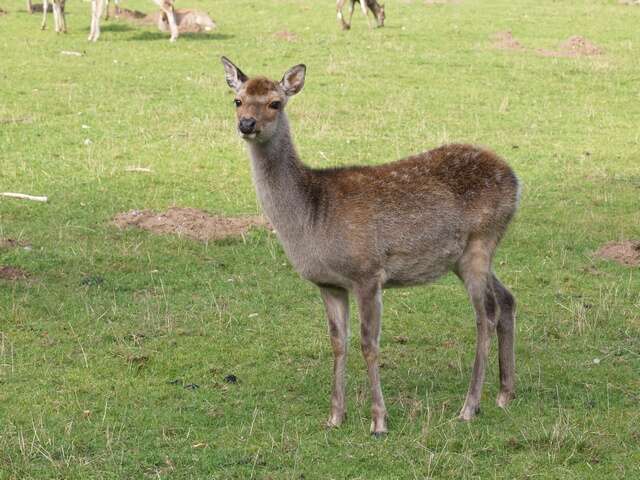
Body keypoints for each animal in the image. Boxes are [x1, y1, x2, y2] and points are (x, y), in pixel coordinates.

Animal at [220, 56, 520, 436]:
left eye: (275, 102)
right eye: (237, 100)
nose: (246, 124)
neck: (312, 217)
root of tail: (516, 180)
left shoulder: (367, 273)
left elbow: (369, 344)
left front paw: (379, 421)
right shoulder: (329, 284)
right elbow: (338, 343)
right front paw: (335, 416)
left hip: (481, 242)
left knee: (486, 313)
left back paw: (470, 406)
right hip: (467, 255)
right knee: (507, 299)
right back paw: (504, 394)